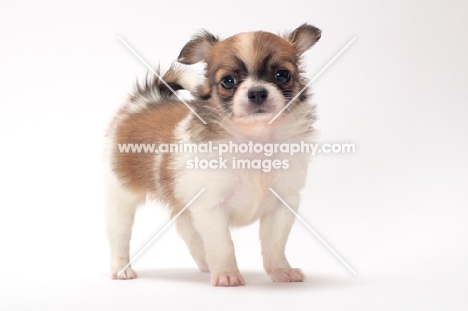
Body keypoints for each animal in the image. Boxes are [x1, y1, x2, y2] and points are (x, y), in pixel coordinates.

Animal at [104, 23, 320, 288]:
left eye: (282, 75)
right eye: (228, 81)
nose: (257, 92)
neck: (255, 139)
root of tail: (145, 102)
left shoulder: (283, 203)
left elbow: (275, 243)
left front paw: (281, 271)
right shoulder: (211, 208)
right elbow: (223, 244)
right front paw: (227, 274)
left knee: (186, 229)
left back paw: (205, 262)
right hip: (120, 195)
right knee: (119, 234)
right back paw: (121, 269)